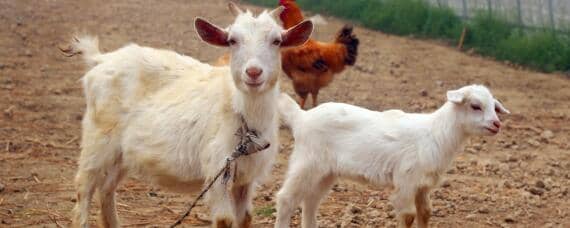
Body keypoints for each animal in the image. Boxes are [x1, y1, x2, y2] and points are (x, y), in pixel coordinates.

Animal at [69, 2, 312, 227]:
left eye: (277, 41)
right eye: (232, 40)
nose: (253, 72)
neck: (242, 113)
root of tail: (101, 59)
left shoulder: (246, 178)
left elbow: (245, 218)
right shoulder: (217, 170)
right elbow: (225, 220)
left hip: (122, 154)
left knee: (106, 188)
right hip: (97, 138)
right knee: (84, 186)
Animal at [274, 85, 506, 228]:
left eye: (494, 107)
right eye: (475, 106)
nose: (497, 124)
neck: (435, 133)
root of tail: (301, 117)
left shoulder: (422, 185)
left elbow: (425, 212)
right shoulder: (406, 180)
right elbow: (408, 215)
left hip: (326, 172)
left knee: (310, 201)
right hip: (307, 162)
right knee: (286, 198)